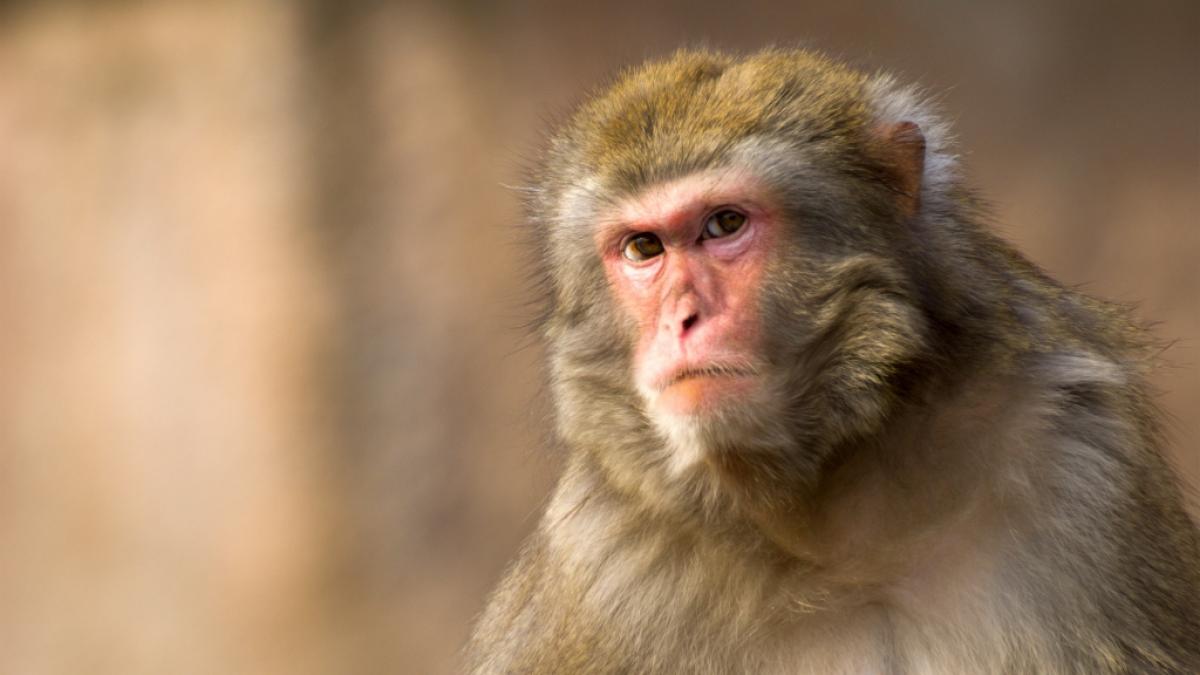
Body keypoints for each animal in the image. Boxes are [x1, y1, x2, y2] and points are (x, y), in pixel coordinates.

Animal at [464, 48, 1200, 674]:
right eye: (644, 248)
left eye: (724, 225)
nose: (681, 320)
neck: (829, 526)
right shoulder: (601, 561)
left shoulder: (1077, 456)